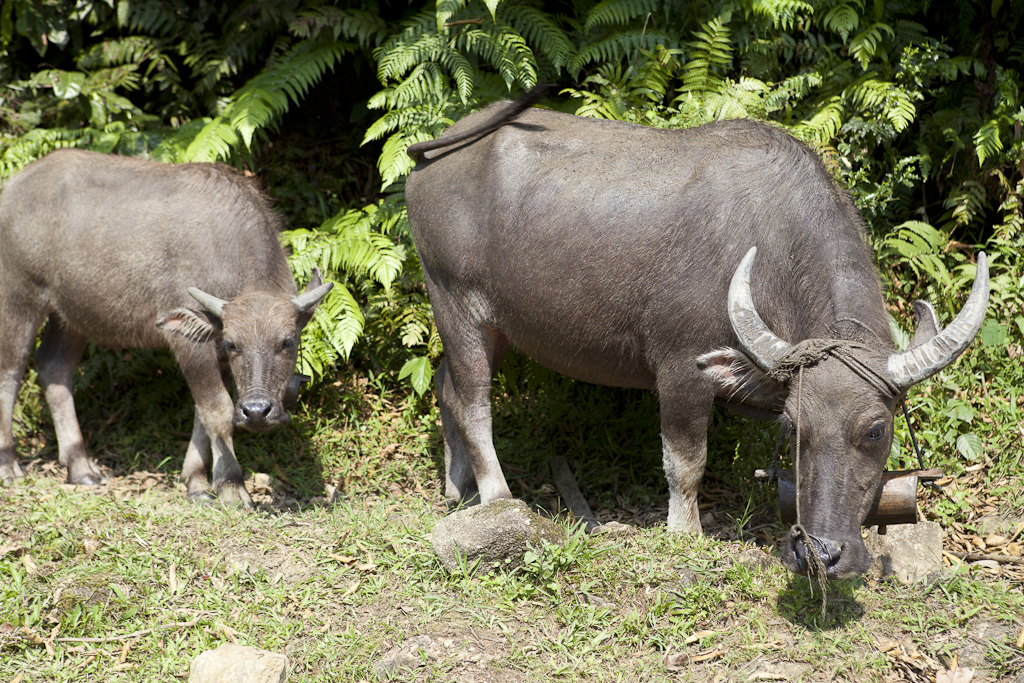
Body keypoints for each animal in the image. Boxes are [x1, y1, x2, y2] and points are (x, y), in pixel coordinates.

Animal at [0, 150, 329, 507]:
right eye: (232, 344)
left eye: (288, 341)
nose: (257, 412)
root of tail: (12, 187)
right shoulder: (190, 343)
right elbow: (218, 410)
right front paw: (230, 485)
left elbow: (202, 415)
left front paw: (196, 482)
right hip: (18, 297)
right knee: (10, 371)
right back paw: (8, 464)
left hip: (71, 315)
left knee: (54, 366)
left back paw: (81, 466)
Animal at [407, 89, 991, 581]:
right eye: (795, 428)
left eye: (876, 430)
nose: (822, 554)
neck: (774, 245)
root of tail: (431, 157)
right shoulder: (679, 369)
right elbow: (686, 462)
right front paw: (685, 531)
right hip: (455, 302)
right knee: (473, 402)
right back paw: (495, 496)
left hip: (493, 327)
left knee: (445, 385)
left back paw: (455, 487)